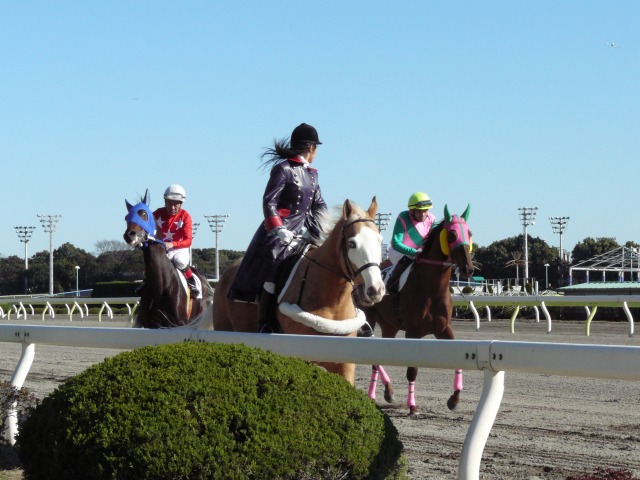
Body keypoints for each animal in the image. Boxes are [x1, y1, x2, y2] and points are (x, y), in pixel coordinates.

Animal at [124, 191, 214, 330]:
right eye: (127, 217)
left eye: (144, 214)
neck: (161, 285)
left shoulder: (179, 324)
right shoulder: (151, 325)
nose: (129, 235)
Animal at [362, 204, 472, 414]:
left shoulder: (443, 328)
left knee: (377, 357)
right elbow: (412, 370)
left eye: (469, 233)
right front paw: (412, 405)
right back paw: (376, 394)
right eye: (452, 234)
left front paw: (454, 399)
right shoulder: (413, 331)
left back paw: (386, 392)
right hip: (369, 319)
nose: (468, 269)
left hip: (390, 326)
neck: (431, 289)